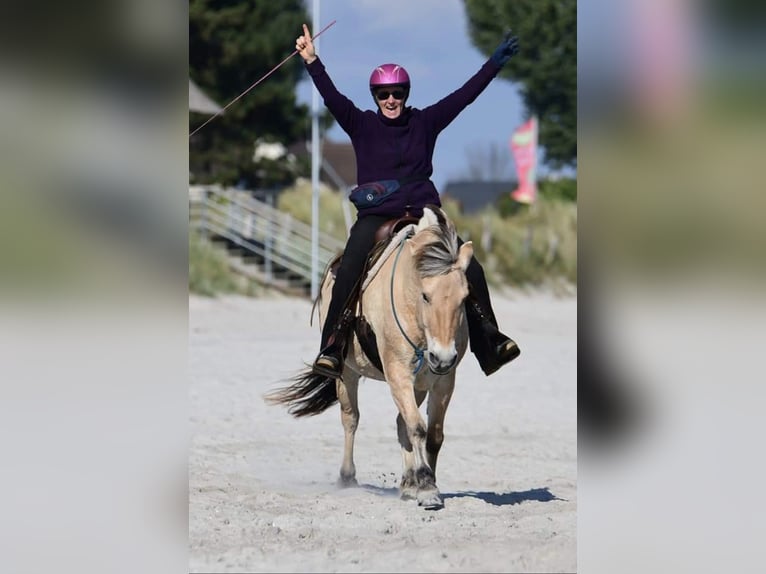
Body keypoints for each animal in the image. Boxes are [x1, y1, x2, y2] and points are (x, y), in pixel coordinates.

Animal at [268, 207, 474, 512]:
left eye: (464, 297)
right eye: (425, 296)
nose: (443, 357)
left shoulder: (443, 381)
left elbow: (433, 434)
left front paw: (425, 483)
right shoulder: (397, 372)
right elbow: (417, 427)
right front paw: (426, 487)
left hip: (419, 385)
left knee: (401, 423)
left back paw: (407, 483)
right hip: (348, 373)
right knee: (351, 419)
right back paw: (347, 477)